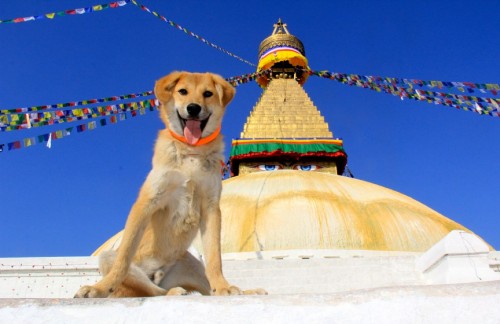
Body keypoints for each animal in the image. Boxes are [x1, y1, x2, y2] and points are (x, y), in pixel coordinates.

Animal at [74, 72, 266, 298]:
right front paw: (100, 287)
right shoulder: (148, 200)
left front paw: (223, 287)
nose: (193, 108)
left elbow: (215, 258)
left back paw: (243, 291)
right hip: (110, 259)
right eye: (182, 91)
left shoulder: (211, 206)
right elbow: (124, 257)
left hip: (190, 263)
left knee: (198, 288)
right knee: (152, 291)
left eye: (208, 94)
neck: (191, 151)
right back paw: (172, 291)